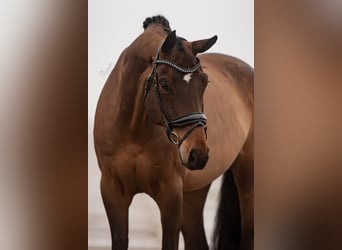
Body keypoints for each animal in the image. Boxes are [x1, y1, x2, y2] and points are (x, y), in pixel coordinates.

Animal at [94, 16, 254, 250]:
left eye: (204, 82)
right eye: (164, 84)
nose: (198, 153)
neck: (133, 131)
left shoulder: (171, 196)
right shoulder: (112, 192)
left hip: (246, 176)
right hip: (194, 193)